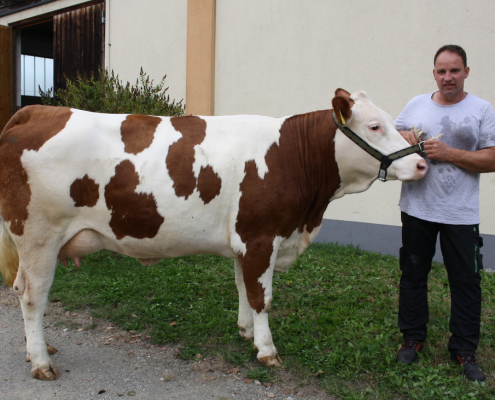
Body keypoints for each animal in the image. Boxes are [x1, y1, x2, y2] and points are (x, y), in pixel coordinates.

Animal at [0, 89, 428, 380]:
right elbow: (261, 297)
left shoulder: (246, 240)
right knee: (34, 296)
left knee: (20, 289)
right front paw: (267, 350)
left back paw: (36, 350)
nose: (423, 163)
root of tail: (37, 109)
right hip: (39, 236)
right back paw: (42, 362)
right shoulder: (261, 238)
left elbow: (243, 288)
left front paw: (246, 332)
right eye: (374, 126)